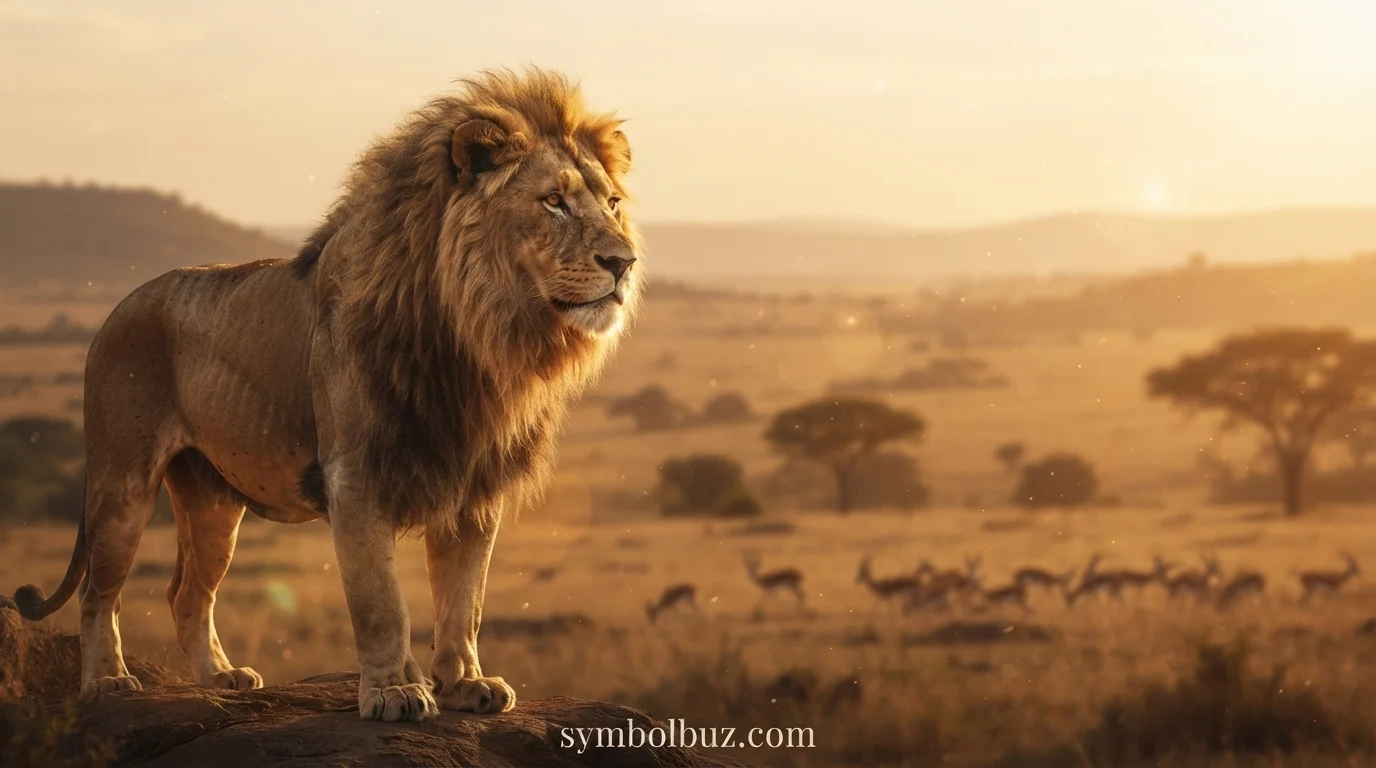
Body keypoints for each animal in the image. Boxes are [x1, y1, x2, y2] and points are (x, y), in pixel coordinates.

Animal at [11, 67, 643, 722]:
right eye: (554, 201)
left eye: (613, 204)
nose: (623, 262)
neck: (475, 337)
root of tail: (115, 310)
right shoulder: (356, 476)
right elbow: (382, 602)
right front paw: (394, 692)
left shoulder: (473, 487)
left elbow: (464, 600)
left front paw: (466, 684)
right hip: (123, 479)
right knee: (99, 590)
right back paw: (108, 682)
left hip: (212, 500)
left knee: (186, 592)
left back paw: (221, 678)